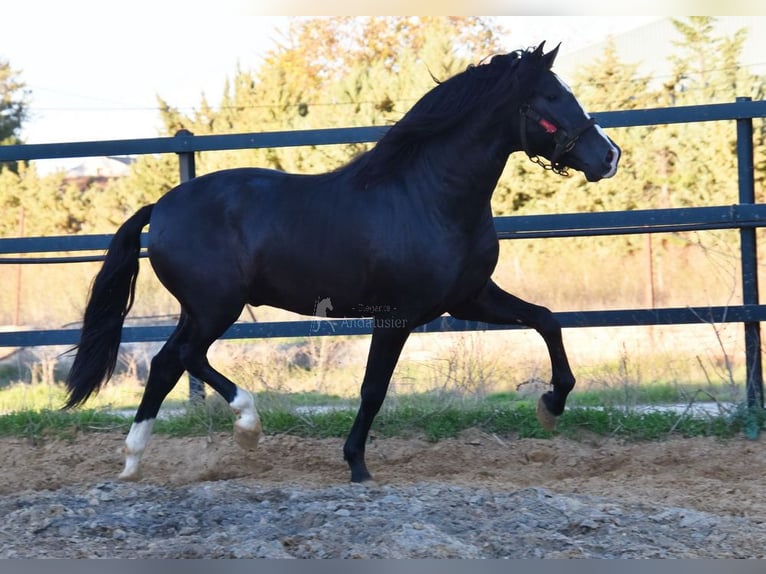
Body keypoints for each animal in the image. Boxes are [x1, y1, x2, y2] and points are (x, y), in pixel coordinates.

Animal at [63, 42, 620, 484]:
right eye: (552, 98)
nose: (609, 156)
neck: (427, 197)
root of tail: (161, 206)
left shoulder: (469, 297)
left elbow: (547, 320)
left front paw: (551, 407)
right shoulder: (397, 316)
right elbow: (373, 389)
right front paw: (356, 465)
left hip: (198, 309)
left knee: (164, 364)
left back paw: (132, 462)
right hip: (216, 306)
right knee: (186, 357)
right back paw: (247, 427)